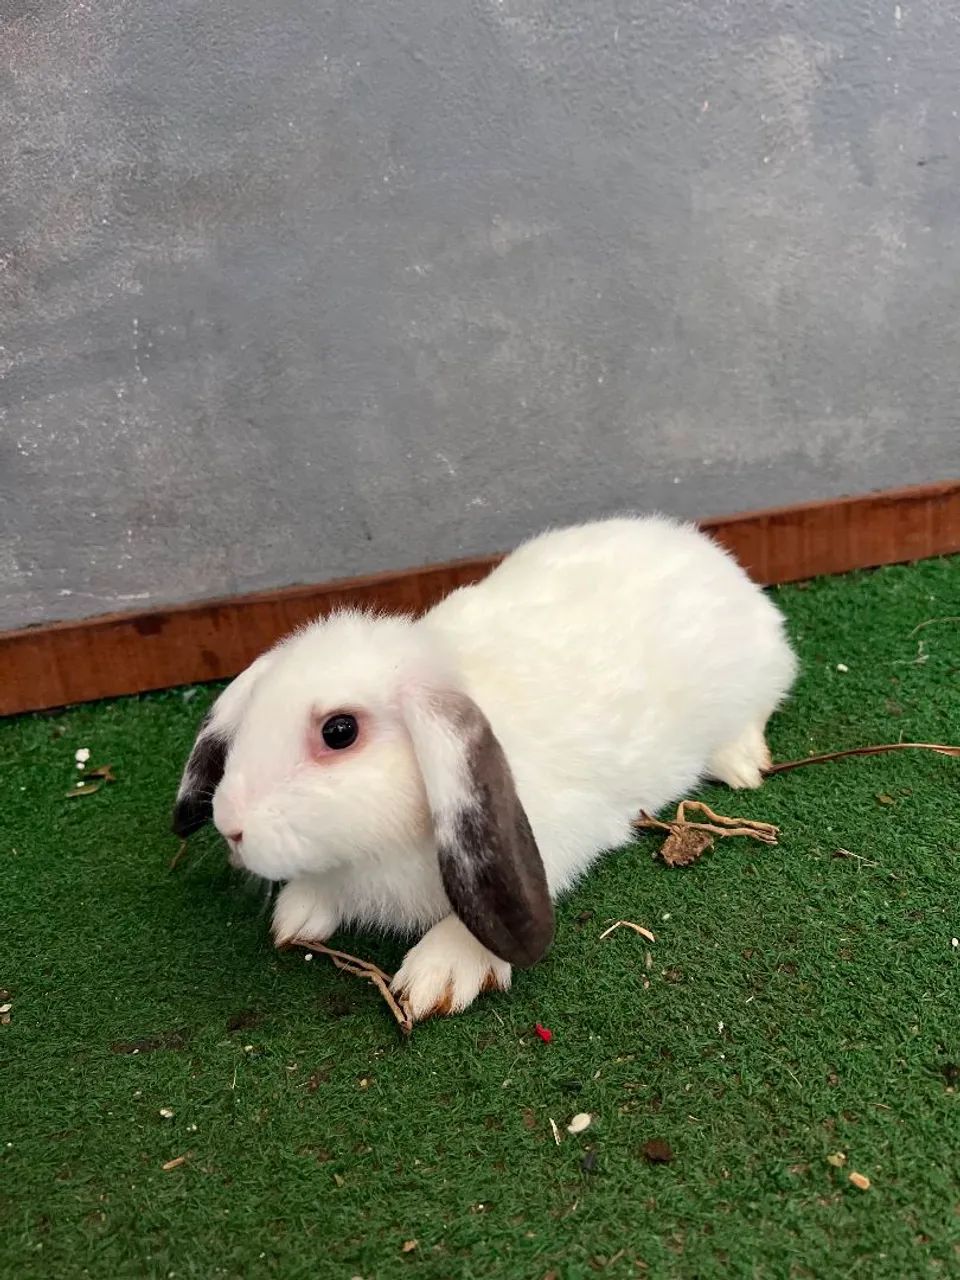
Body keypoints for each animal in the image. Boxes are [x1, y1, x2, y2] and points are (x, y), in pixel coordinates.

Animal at [173, 516, 797, 1020]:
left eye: (340, 731)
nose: (231, 827)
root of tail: (710, 553)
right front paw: (298, 913)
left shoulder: (549, 842)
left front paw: (441, 972)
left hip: (752, 683)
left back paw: (740, 763)